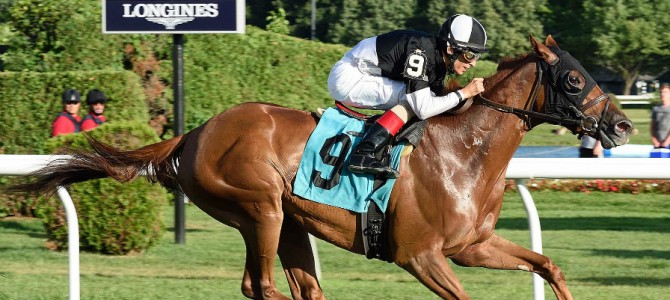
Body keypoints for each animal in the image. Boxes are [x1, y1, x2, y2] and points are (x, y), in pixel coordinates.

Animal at [15, 36, 636, 298]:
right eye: (574, 79)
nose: (623, 126)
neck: (464, 152)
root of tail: (196, 131)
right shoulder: (420, 255)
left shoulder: (471, 246)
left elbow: (549, 266)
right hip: (259, 208)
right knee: (260, 285)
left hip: (292, 222)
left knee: (300, 290)